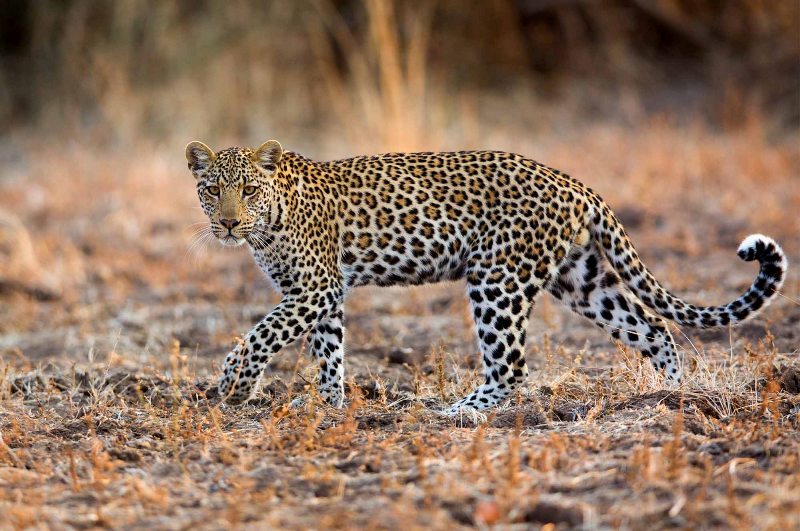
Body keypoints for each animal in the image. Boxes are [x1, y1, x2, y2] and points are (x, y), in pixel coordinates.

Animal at [186, 141, 788, 416]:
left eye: (249, 191)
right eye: (213, 190)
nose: (228, 223)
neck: (270, 222)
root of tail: (575, 184)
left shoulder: (315, 288)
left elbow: (262, 334)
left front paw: (234, 384)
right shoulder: (318, 295)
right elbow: (326, 351)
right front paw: (331, 404)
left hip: (497, 280)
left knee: (511, 368)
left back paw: (456, 412)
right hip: (581, 280)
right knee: (655, 328)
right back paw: (673, 398)